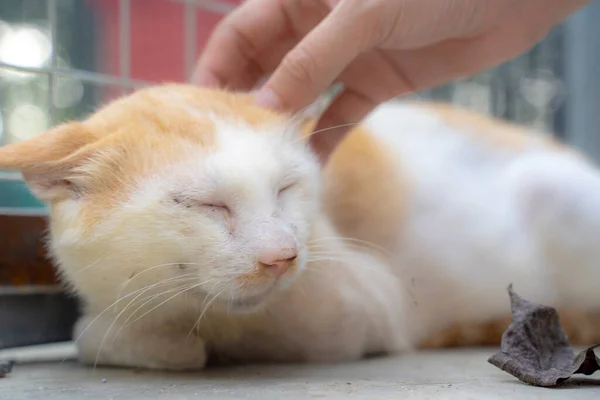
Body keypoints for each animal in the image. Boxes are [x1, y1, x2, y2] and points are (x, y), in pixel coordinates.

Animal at [1, 83, 600, 370]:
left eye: (286, 188)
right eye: (206, 205)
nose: (282, 255)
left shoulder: (366, 305)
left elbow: (92, 333)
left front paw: (175, 344)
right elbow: (97, 329)